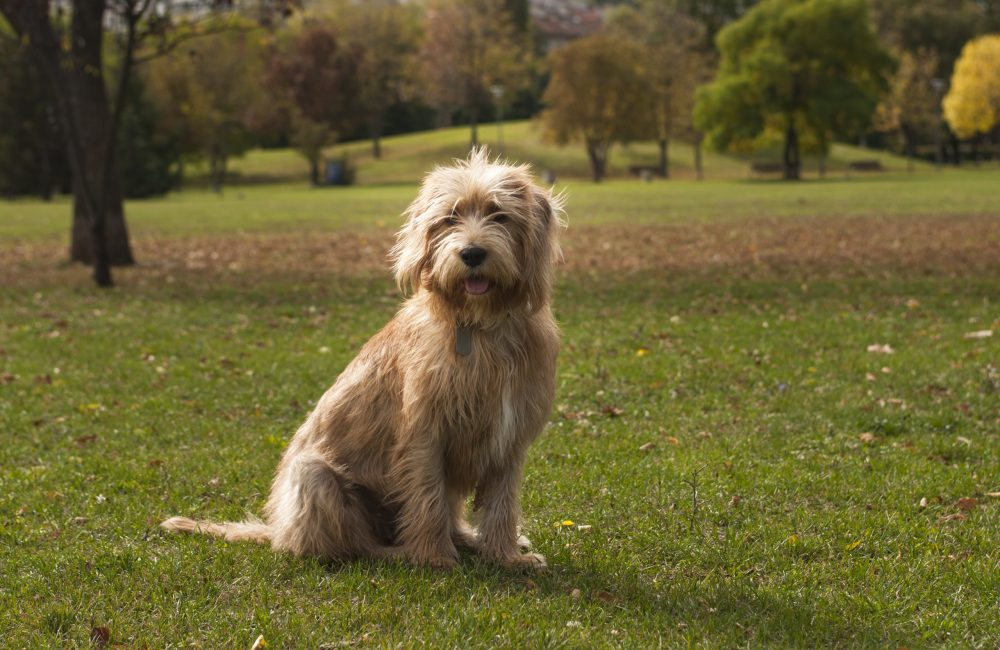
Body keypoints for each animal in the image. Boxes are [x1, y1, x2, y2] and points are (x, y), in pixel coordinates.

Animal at [166, 151, 572, 568]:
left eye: (499, 215)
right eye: (450, 218)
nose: (472, 254)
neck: (480, 325)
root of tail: (277, 530)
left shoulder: (510, 437)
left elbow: (501, 504)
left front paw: (505, 556)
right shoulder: (424, 433)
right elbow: (428, 497)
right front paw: (436, 558)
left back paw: (467, 540)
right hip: (314, 476)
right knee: (351, 544)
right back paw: (403, 552)